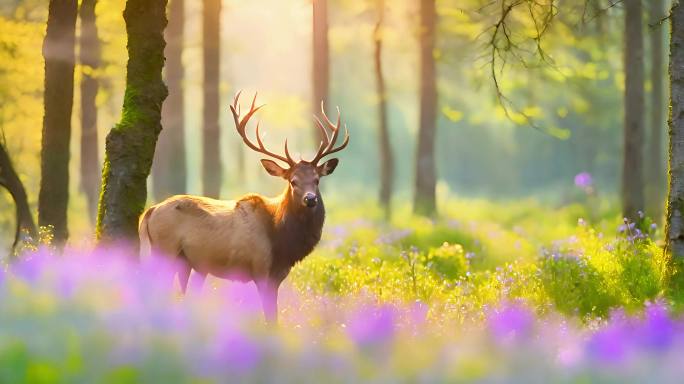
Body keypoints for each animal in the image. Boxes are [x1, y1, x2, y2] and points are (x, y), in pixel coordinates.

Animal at [137, 93, 350, 324]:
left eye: (317, 180)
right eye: (293, 181)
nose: (310, 199)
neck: (282, 241)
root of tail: (149, 212)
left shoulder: (278, 274)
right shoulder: (260, 267)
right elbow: (269, 316)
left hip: (186, 262)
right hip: (164, 250)